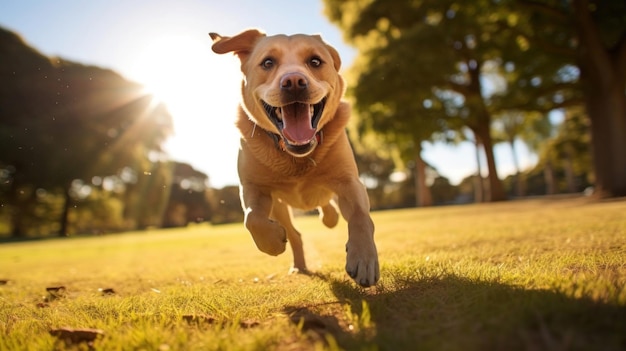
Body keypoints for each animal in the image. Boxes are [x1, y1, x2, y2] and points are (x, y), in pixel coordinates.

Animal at [210, 28, 378, 288]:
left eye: (315, 61)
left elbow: (361, 216)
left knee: (328, 207)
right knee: (294, 233)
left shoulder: (349, 181)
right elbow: (251, 218)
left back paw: (330, 217)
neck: (296, 155)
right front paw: (271, 242)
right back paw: (298, 264)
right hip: (280, 207)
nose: (294, 82)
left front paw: (364, 258)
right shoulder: (252, 187)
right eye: (268, 62)